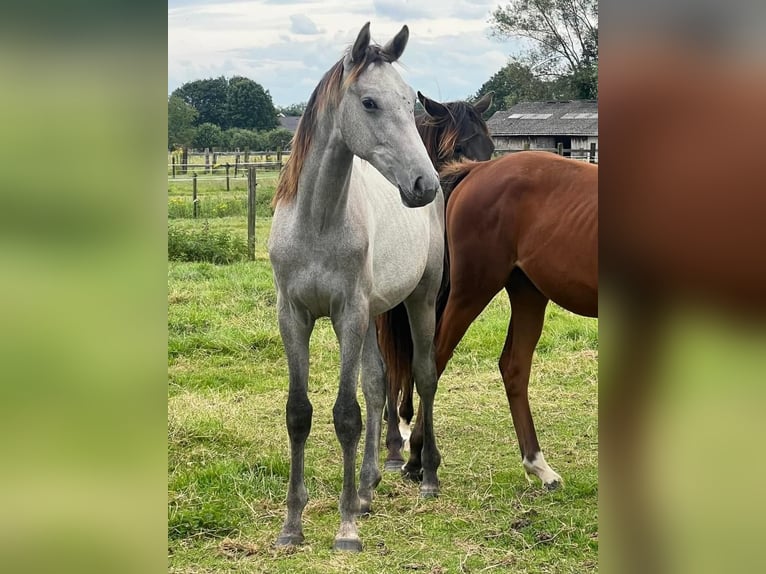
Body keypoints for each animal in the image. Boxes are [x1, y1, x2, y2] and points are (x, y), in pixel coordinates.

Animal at [268, 22, 444, 552]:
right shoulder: (294, 316)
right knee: (377, 384)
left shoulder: (348, 313)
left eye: (410, 100)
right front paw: (292, 526)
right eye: (369, 102)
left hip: (418, 300)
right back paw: (367, 487)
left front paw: (345, 528)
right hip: (373, 315)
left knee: (423, 377)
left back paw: (427, 477)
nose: (423, 184)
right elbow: (300, 412)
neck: (317, 221)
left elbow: (346, 415)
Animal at [384, 152, 600, 490]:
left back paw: (538, 465)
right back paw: (417, 459)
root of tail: (478, 169)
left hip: (528, 294)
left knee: (514, 367)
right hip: (472, 291)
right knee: (435, 360)